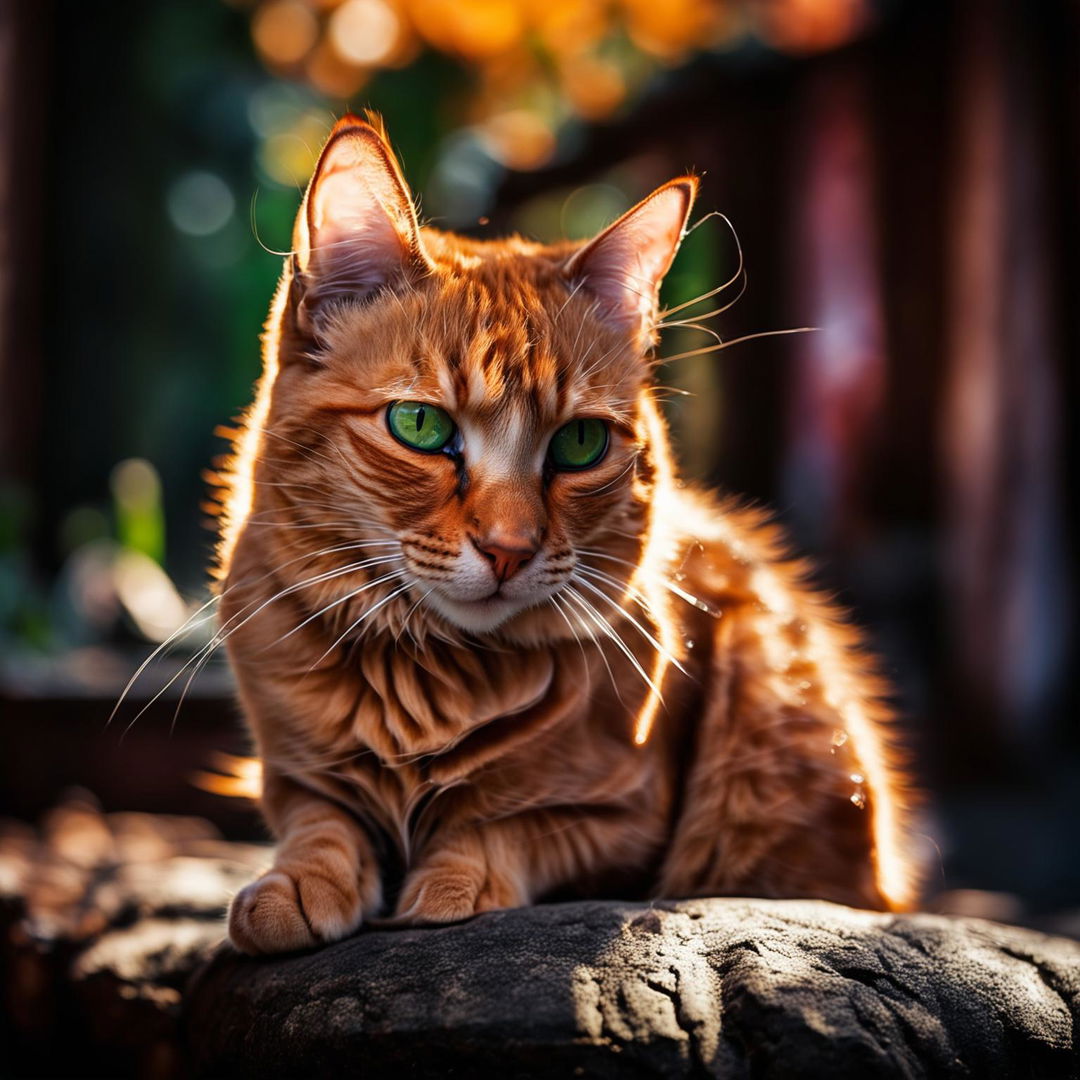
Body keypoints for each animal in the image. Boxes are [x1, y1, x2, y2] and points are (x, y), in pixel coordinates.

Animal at [214, 111, 915, 954]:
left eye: (579, 444)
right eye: (420, 426)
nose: (509, 548)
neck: (428, 681)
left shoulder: (624, 820)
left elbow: (505, 827)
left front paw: (450, 884)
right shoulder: (285, 775)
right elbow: (320, 822)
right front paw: (295, 883)